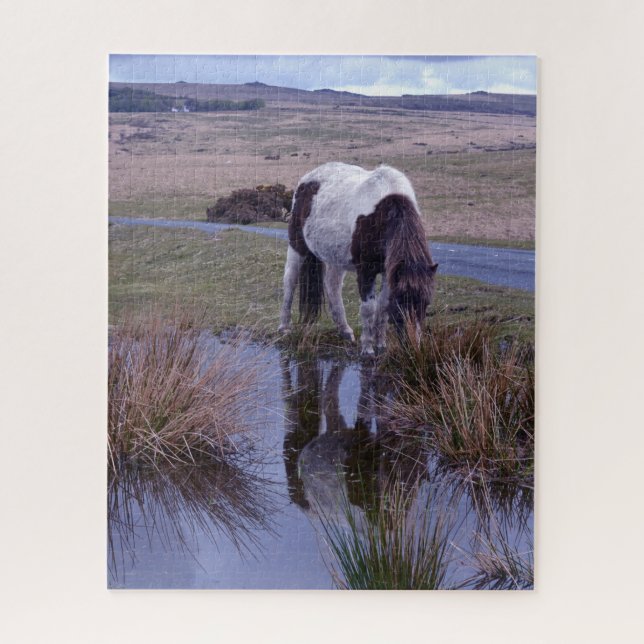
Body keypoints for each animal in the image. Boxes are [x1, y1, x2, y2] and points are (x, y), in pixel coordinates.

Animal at [278, 162, 438, 355]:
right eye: (401, 302)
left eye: (426, 303)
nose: (413, 346)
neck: (384, 212)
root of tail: (307, 179)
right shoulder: (366, 270)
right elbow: (369, 308)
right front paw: (367, 348)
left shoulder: (390, 271)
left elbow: (382, 306)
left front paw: (381, 344)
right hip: (297, 246)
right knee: (290, 281)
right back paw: (284, 327)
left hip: (335, 258)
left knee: (332, 286)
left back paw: (345, 331)